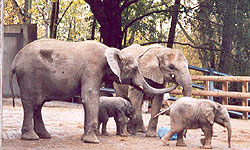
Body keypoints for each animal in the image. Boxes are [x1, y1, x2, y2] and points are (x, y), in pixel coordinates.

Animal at [8, 39, 176, 144]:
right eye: (135, 69)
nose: (172, 76)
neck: (112, 51)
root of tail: (15, 61)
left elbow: (87, 100)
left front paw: (84, 138)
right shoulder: (92, 68)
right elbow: (90, 96)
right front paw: (93, 141)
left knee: (38, 105)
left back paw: (44, 136)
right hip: (28, 76)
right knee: (30, 104)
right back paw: (31, 138)